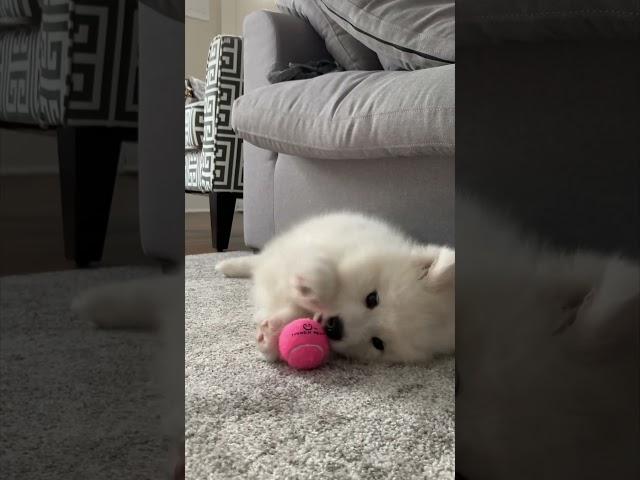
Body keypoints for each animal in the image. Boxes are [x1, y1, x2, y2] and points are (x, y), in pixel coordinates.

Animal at [216, 212, 456, 362]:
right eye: (372, 298)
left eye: (378, 343)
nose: (334, 328)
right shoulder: (309, 249)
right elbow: (323, 272)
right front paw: (312, 284)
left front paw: (271, 336)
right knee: (257, 261)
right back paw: (227, 266)